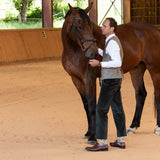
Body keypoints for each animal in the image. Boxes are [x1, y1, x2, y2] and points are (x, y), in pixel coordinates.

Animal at [61, 1, 160, 144]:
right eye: (79, 27)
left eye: (90, 26)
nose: (92, 52)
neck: (74, 51)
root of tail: (155, 30)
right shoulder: (76, 80)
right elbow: (86, 105)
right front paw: (88, 133)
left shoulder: (89, 78)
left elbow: (92, 105)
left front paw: (93, 136)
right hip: (137, 70)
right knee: (141, 94)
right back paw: (132, 126)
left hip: (154, 70)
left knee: (157, 94)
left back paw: (157, 127)